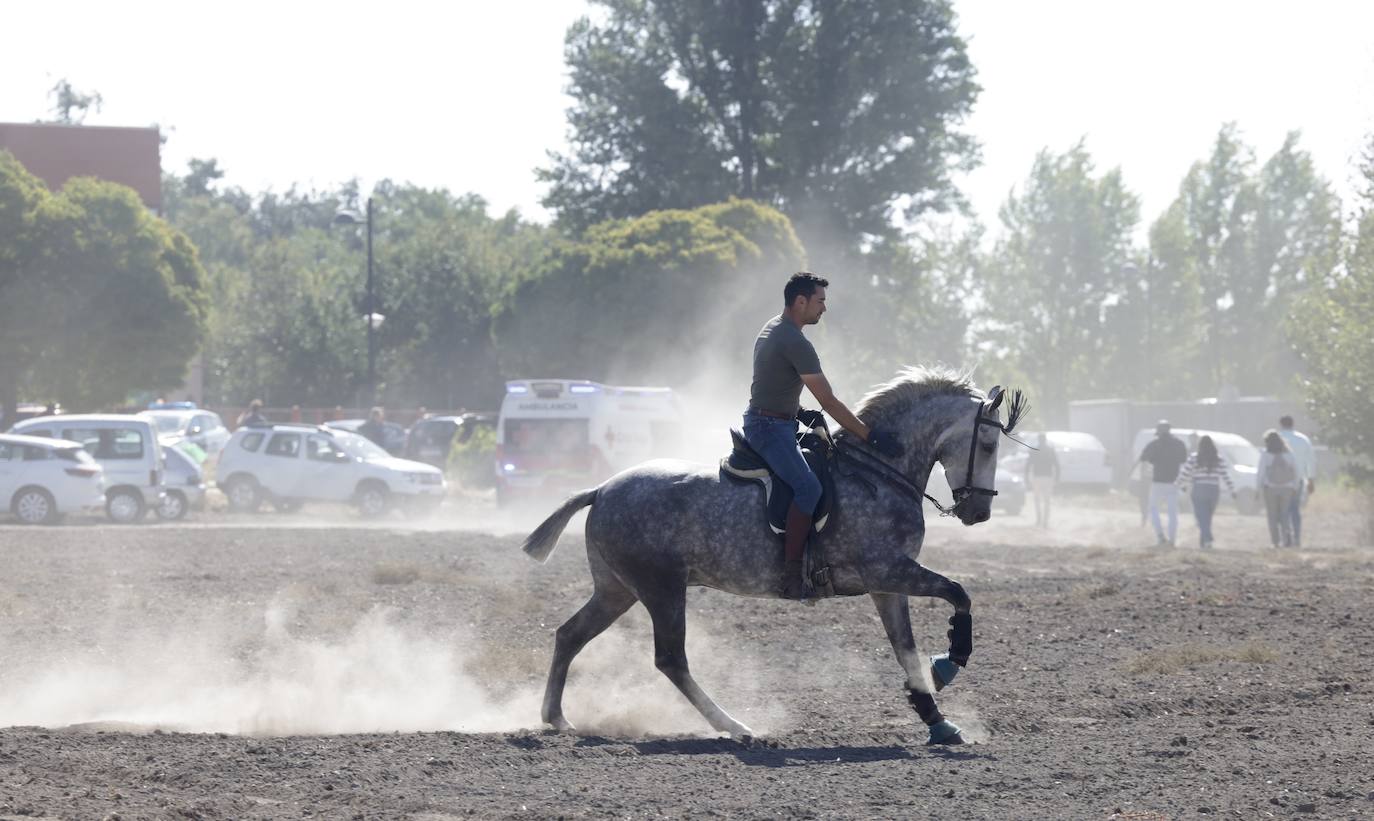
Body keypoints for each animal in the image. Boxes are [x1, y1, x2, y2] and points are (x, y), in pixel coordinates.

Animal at [519, 370, 1027, 752]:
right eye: (988, 446)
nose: (978, 513)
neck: (880, 472)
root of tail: (602, 489)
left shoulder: (887, 584)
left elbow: (905, 647)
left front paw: (935, 717)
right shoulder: (888, 570)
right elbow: (958, 594)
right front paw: (948, 663)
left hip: (619, 590)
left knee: (570, 634)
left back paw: (555, 717)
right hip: (662, 590)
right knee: (670, 659)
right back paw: (736, 727)